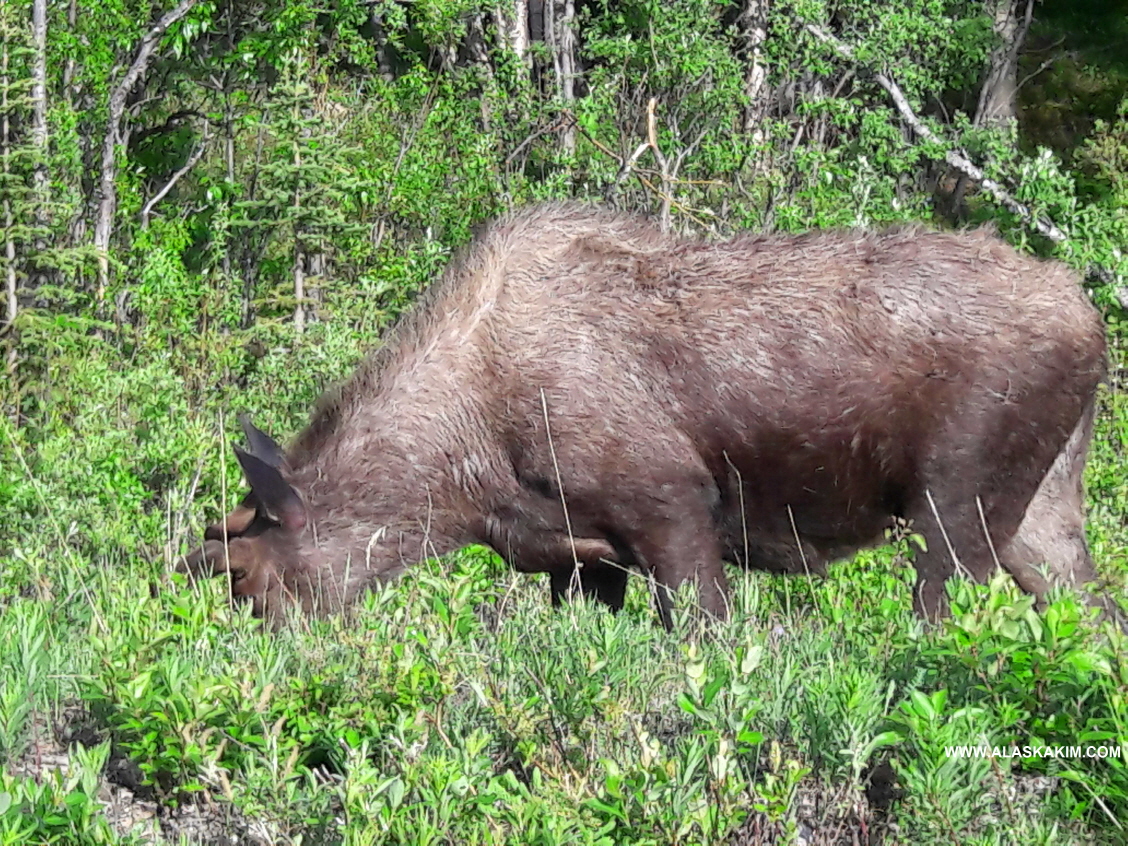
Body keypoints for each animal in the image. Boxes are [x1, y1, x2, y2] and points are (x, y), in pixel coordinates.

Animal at [182, 204, 1109, 631]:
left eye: (238, 578)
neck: (464, 479)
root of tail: (1093, 320)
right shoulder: (580, 551)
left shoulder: (671, 504)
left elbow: (705, 634)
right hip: (1044, 510)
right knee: (1095, 615)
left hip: (955, 505)